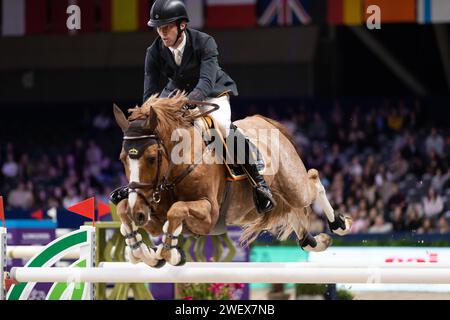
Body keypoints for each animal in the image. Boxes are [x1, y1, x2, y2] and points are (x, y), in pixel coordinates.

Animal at [112, 93, 352, 268]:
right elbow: (125, 210)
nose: (137, 213)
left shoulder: (209, 214)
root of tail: (265, 121)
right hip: (263, 205)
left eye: (152, 158)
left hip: (294, 185)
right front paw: (142, 252)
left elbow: (177, 210)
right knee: (292, 211)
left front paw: (169, 253)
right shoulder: (151, 211)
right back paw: (315, 242)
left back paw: (340, 224)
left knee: (313, 180)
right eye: (122, 158)